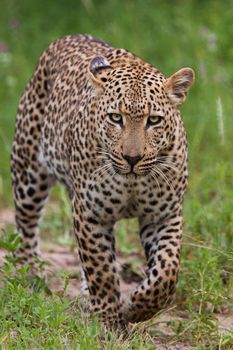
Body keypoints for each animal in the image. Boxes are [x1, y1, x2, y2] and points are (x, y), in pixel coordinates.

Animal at [10, 34, 194, 330]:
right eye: (115, 118)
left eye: (154, 120)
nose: (132, 158)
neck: (132, 184)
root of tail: (70, 36)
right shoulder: (90, 213)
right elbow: (101, 270)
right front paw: (108, 320)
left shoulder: (164, 216)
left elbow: (166, 272)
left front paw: (137, 307)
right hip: (28, 171)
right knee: (26, 226)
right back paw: (31, 275)